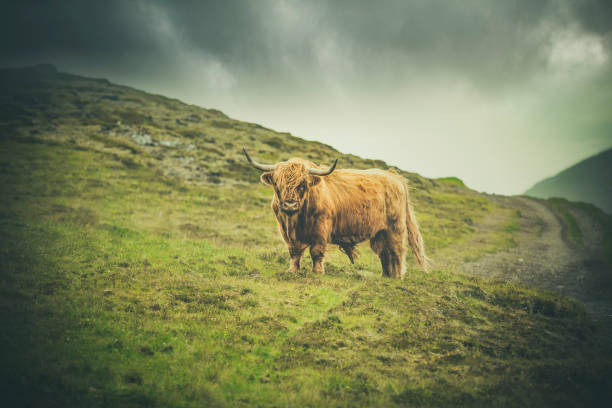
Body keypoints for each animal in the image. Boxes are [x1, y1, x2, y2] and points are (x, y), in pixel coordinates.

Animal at [244, 148, 426, 278]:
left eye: (302, 184)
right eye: (277, 184)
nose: (290, 204)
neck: (295, 220)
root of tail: (393, 176)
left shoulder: (321, 228)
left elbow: (316, 251)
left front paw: (317, 272)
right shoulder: (285, 230)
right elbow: (294, 252)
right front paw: (292, 271)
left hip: (395, 227)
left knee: (396, 251)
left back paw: (396, 277)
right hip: (379, 232)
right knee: (384, 252)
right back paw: (385, 276)